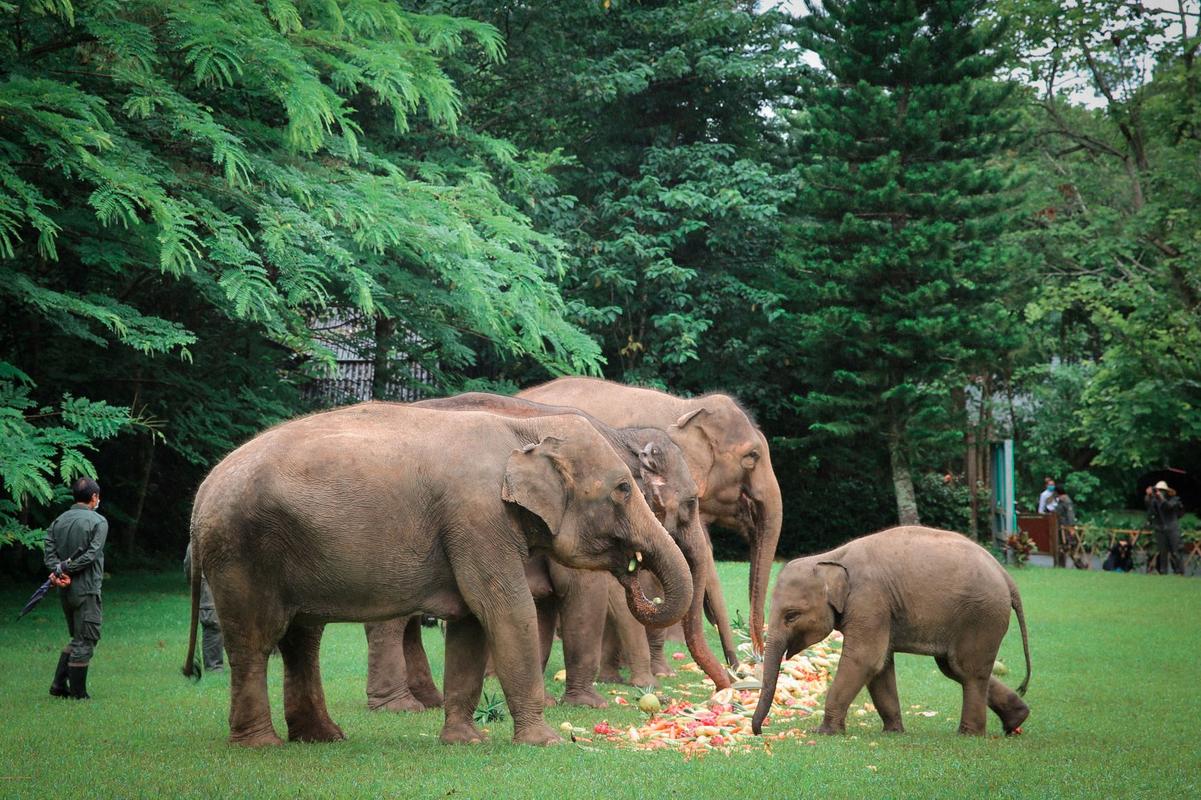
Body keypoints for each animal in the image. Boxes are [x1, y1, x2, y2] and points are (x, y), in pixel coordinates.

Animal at [187, 401, 696, 744]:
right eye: (623, 489)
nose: (633, 571)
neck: (524, 429)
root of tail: (202, 493)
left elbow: (471, 621)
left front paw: (465, 742)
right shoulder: (477, 517)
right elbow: (505, 609)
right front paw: (546, 742)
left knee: (301, 640)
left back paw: (324, 737)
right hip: (240, 554)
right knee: (254, 641)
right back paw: (261, 744)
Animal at [355, 393, 730, 711]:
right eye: (691, 503)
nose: (728, 685)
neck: (622, 437)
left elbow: (547, 608)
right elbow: (587, 593)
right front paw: (601, 699)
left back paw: (430, 701)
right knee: (392, 618)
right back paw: (399, 706)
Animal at [754, 523, 1028, 735]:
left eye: (791, 616)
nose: (759, 731)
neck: (832, 557)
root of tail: (1007, 577)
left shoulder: (869, 600)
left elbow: (864, 659)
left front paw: (823, 732)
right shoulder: (879, 609)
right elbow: (881, 666)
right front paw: (893, 731)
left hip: (981, 616)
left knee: (967, 670)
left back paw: (969, 734)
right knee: (954, 668)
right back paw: (1017, 720)